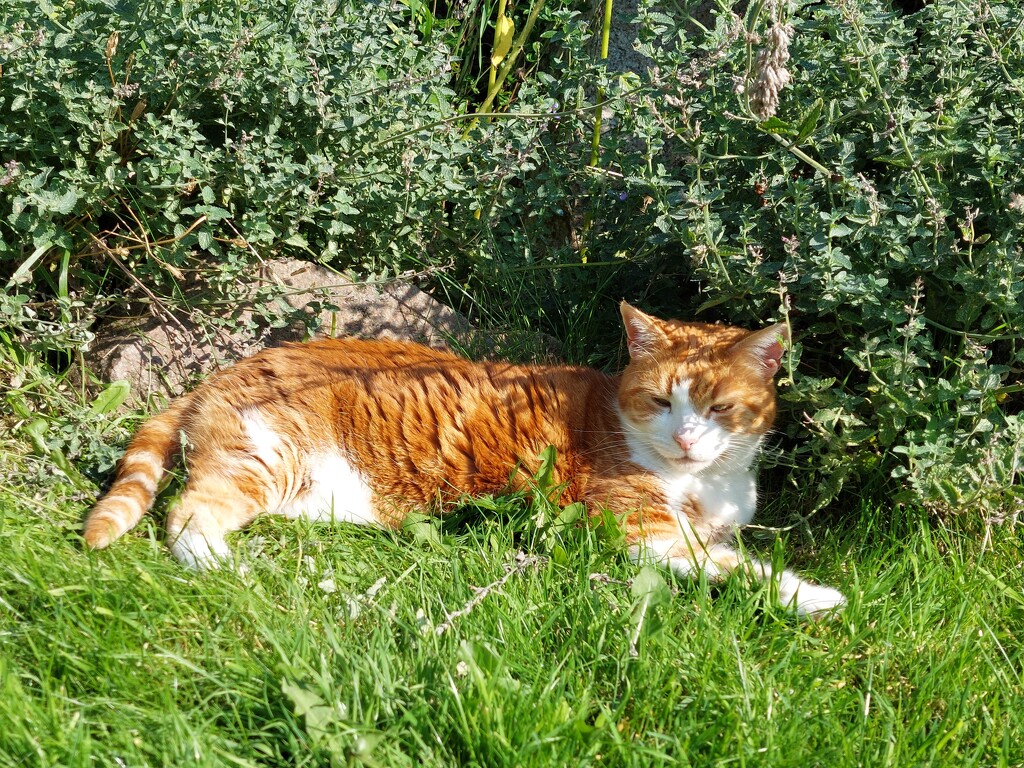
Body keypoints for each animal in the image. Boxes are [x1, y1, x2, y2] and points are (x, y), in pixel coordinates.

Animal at [83, 303, 843, 618]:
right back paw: (233, 569)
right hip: (265, 455)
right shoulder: (640, 532)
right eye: (661, 400)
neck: (703, 479)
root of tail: (223, 371)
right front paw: (813, 596)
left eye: (718, 409)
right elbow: (733, 567)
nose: (685, 437)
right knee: (189, 516)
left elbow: (728, 546)